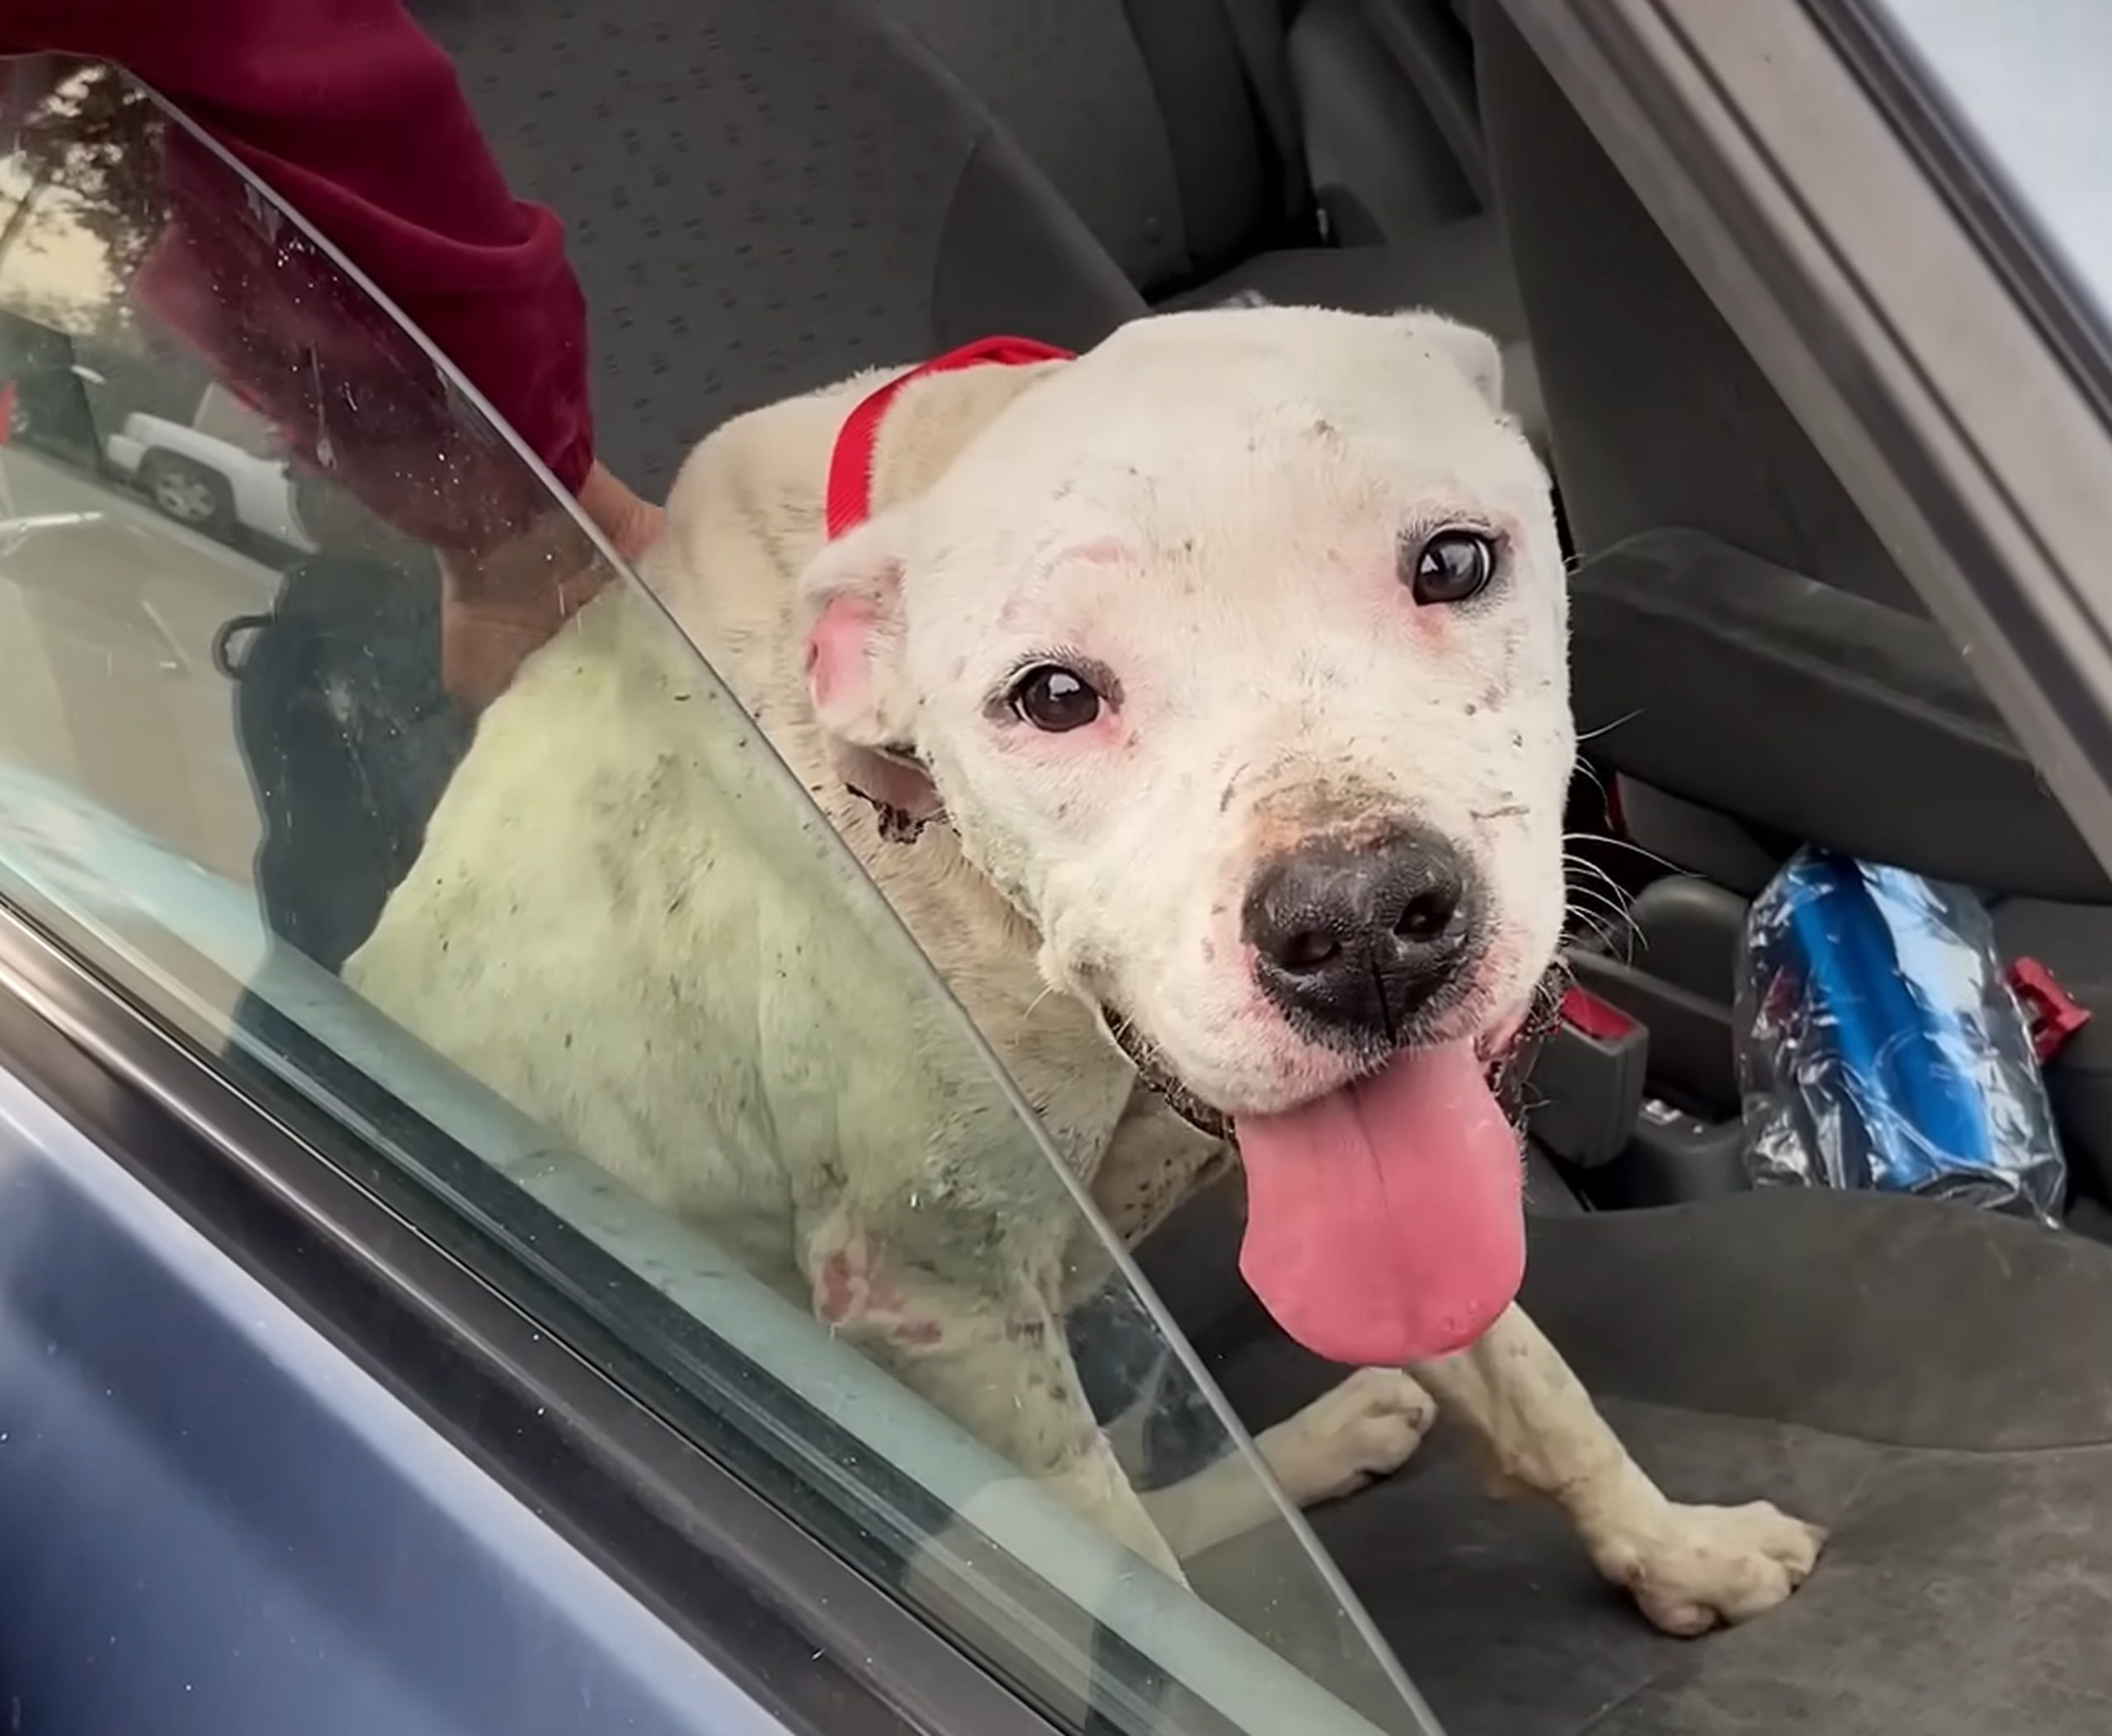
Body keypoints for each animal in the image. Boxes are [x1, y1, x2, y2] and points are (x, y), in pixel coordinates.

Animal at [342, 306, 1816, 1639]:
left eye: (1454, 560)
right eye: (1051, 697)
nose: (1360, 925)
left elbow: (1526, 1367)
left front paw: (1672, 1547)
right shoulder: (936, 1304)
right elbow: (1137, 1604)